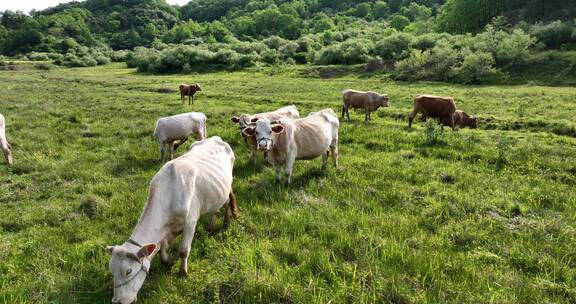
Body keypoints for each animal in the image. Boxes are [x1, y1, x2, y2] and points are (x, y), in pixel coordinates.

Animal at [106, 137, 236, 304]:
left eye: (128, 271)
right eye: (111, 271)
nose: (117, 301)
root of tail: (215, 138)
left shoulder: (190, 222)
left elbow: (183, 250)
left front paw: (182, 272)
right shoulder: (165, 230)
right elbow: (162, 248)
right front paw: (168, 260)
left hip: (227, 186)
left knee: (226, 203)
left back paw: (225, 222)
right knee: (214, 209)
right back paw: (210, 226)